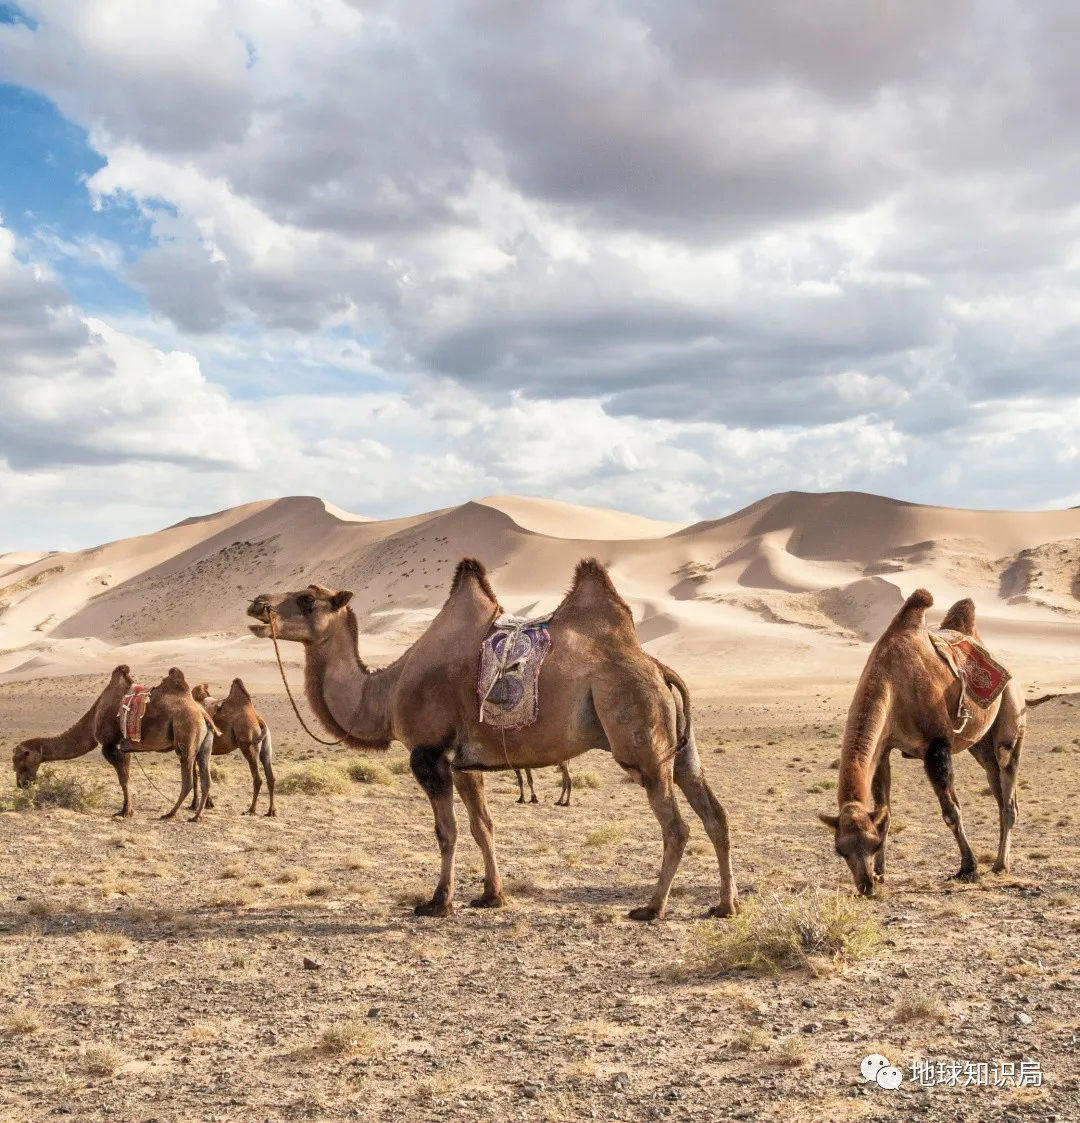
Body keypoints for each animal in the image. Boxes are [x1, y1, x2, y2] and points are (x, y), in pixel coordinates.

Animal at [193, 673, 278, 817]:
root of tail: (258, 719)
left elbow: (195, 774)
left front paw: (196, 804)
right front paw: (206, 804)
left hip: (248, 744)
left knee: (258, 778)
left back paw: (251, 809)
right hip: (266, 745)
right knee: (270, 777)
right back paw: (271, 811)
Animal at [244, 554, 736, 920]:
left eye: (308, 599)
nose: (256, 604)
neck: (385, 691)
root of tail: (659, 667)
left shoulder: (428, 755)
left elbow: (447, 831)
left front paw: (438, 902)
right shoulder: (465, 762)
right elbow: (484, 826)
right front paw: (490, 895)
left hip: (641, 742)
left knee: (677, 826)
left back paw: (651, 908)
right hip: (682, 749)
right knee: (716, 815)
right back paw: (724, 905)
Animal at [821, 592, 1046, 898]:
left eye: (872, 844)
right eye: (839, 850)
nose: (865, 885)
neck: (892, 685)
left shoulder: (936, 746)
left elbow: (951, 811)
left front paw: (968, 868)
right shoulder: (884, 749)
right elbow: (885, 813)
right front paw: (881, 872)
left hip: (1011, 718)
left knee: (1008, 789)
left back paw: (1000, 865)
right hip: (980, 745)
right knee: (997, 787)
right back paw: (1001, 859)